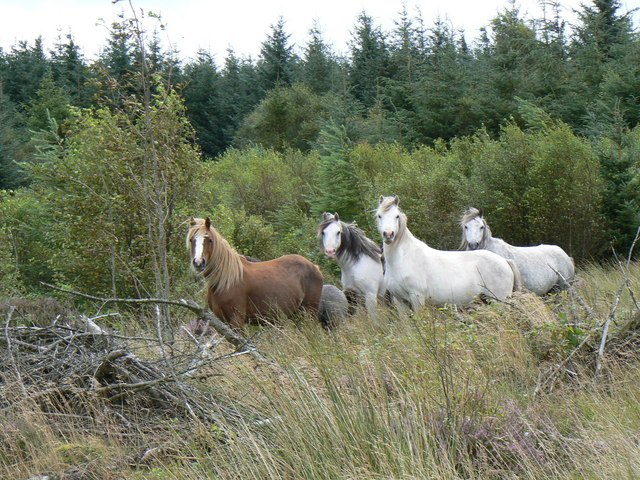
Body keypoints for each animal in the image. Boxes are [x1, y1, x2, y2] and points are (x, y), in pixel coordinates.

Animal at [188, 218, 322, 330]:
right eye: (191, 240)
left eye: (209, 240)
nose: (198, 262)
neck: (225, 280)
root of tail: (315, 267)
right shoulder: (223, 321)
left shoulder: (236, 320)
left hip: (309, 313)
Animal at [376, 195, 520, 308]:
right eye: (379, 216)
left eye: (396, 216)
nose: (388, 234)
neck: (403, 258)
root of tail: (505, 261)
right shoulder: (400, 301)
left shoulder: (417, 297)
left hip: (499, 302)